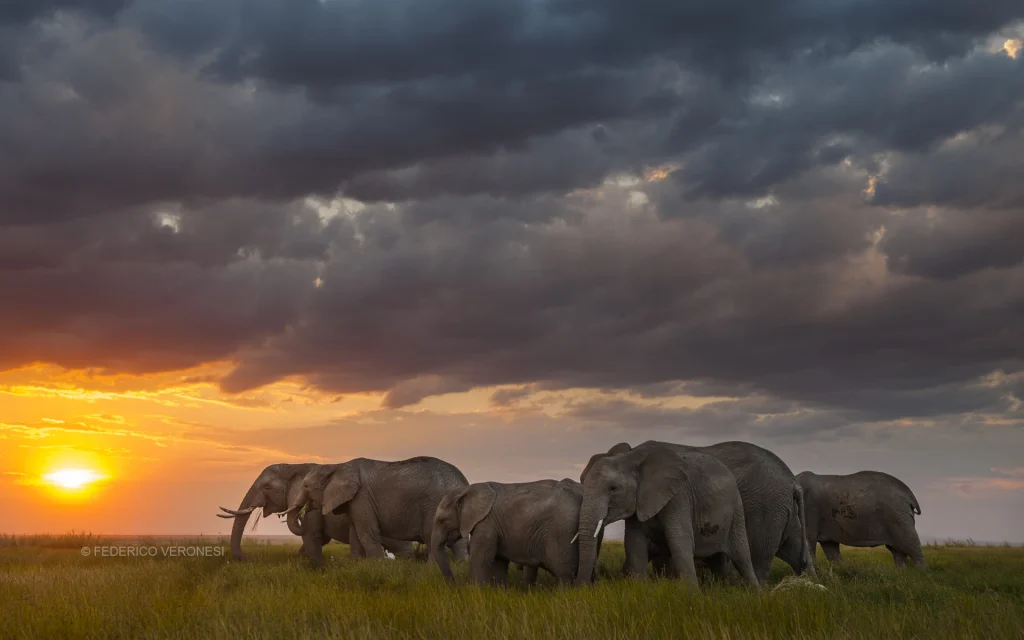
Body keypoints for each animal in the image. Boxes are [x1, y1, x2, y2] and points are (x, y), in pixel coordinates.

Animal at [288, 456, 470, 568]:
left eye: (306, 486)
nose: (303, 512)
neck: (338, 466)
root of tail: (463, 483)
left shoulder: (362, 498)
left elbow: (367, 534)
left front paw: (377, 566)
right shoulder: (354, 502)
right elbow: (355, 535)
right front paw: (357, 565)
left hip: (434, 505)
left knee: (433, 538)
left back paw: (432, 568)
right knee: (457, 542)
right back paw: (461, 565)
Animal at [431, 478, 604, 586]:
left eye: (441, 520)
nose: (454, 585)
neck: (465, 491)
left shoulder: (485, 523)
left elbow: (481, 559)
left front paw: (475, 592)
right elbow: (498, 561)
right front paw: (500, 592)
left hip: (562, 533)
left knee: (564, 574)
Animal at [582, 440, 814, 582]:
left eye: (613, 489)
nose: (595, 580)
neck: (629, 455)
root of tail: (792, 480)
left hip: (766, 509)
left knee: (758, 560)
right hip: (784, 511)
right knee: (797, 552)